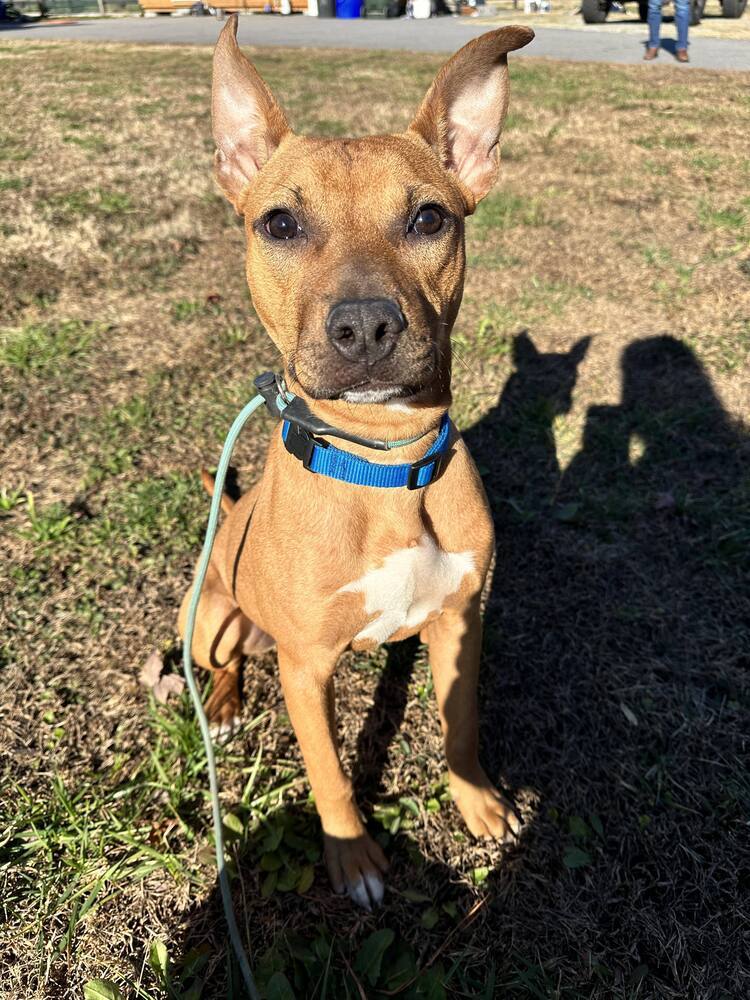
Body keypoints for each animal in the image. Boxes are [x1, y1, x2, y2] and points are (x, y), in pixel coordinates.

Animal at [180, 15, 536, 912]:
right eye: (279, 225)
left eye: (429, 219)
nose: (366, 326)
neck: (381, 468)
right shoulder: (307, 671)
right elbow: (331, 774)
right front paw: (355, 860)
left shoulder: (461, 622)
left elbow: (460, 726)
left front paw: (479, 804)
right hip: (209, 619)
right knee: (222, 666)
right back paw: (225, 706)